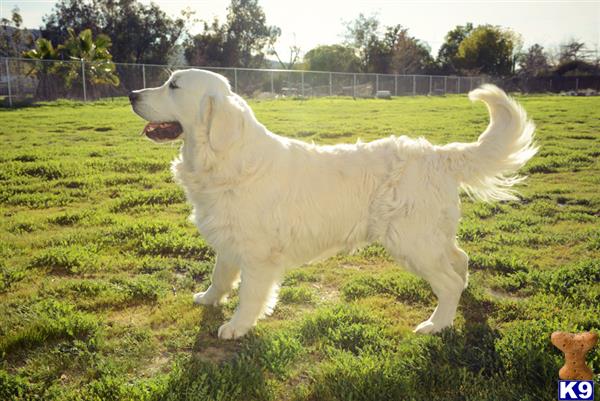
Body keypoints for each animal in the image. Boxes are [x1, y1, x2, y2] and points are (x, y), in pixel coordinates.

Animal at [129, 69, 536, 338]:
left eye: (173, 85)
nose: (132, 94)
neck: (223, 158)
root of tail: (437, 153)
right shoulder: (229, 240)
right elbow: (220, 276)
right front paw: (208, 299)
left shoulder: (258, 254)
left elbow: (250, 295)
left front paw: (236, 326)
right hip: (430, 236)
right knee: (460, 260)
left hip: (412, 242)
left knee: (449, 282)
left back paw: (437, 324)